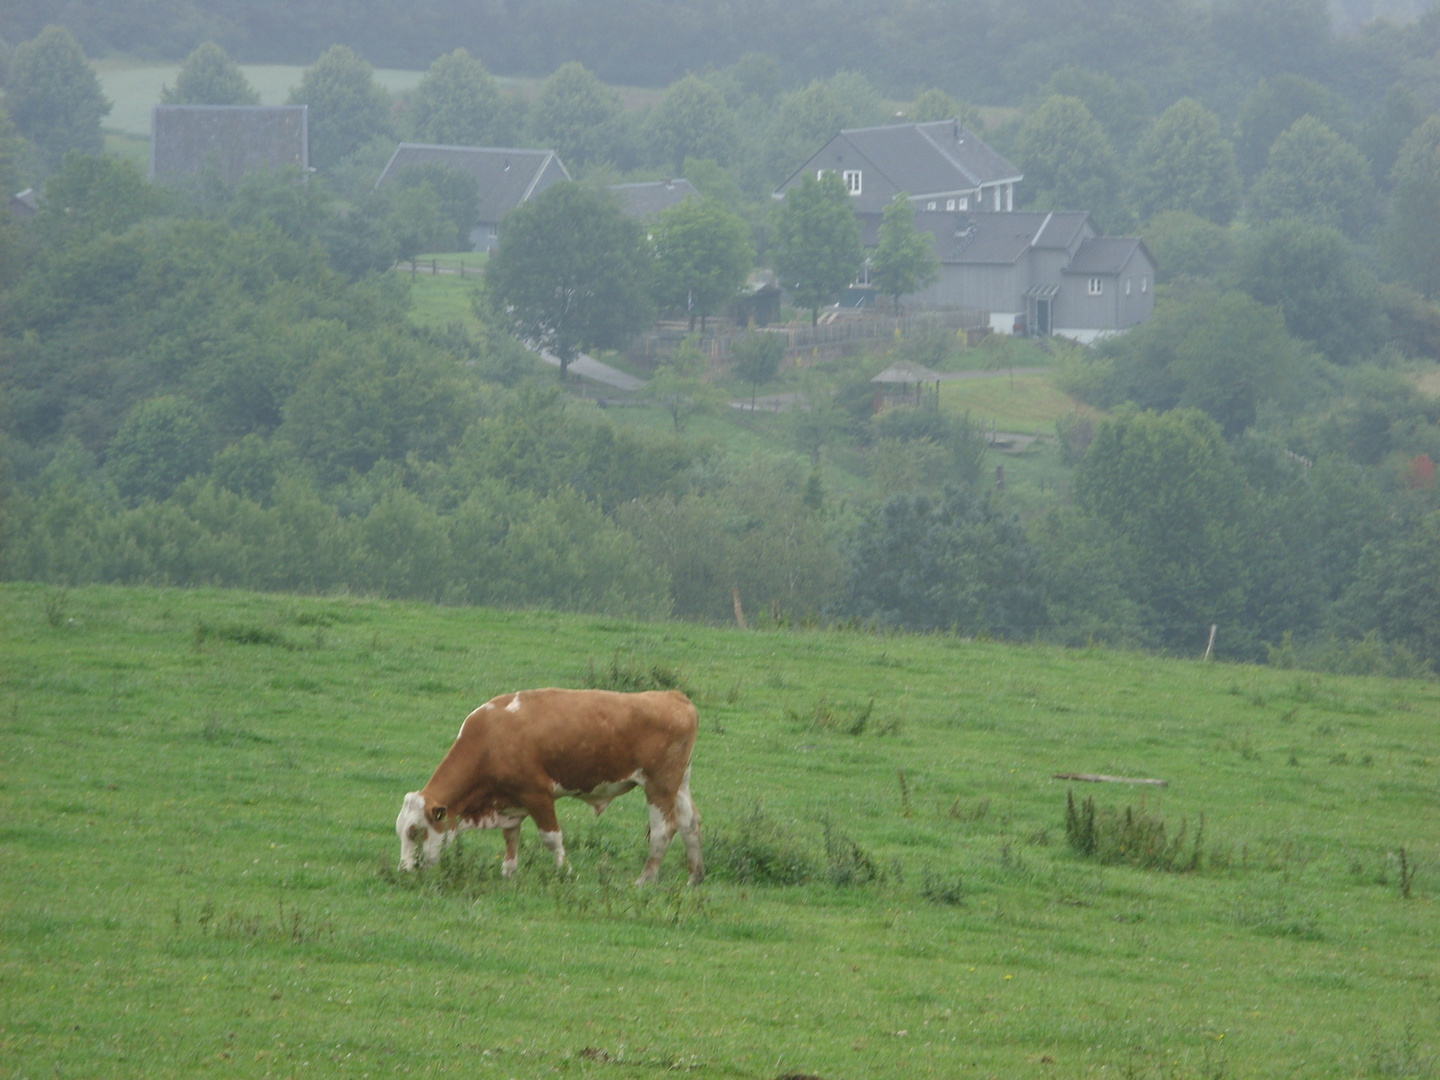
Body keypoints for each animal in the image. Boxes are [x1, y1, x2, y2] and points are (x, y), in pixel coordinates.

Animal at [394, 694, 702, 887]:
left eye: (415, 831)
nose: (405, 870)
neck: (490, 739)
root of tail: (672, 696)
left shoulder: (537, 794)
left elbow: (552, 838)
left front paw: (566, 872)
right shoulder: (509, 800)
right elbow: (511, 836)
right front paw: (509, 873)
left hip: (659, 786)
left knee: (664, 829)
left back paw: (645, 879)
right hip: (680, 784)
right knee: (690, 824)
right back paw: (694, 878)